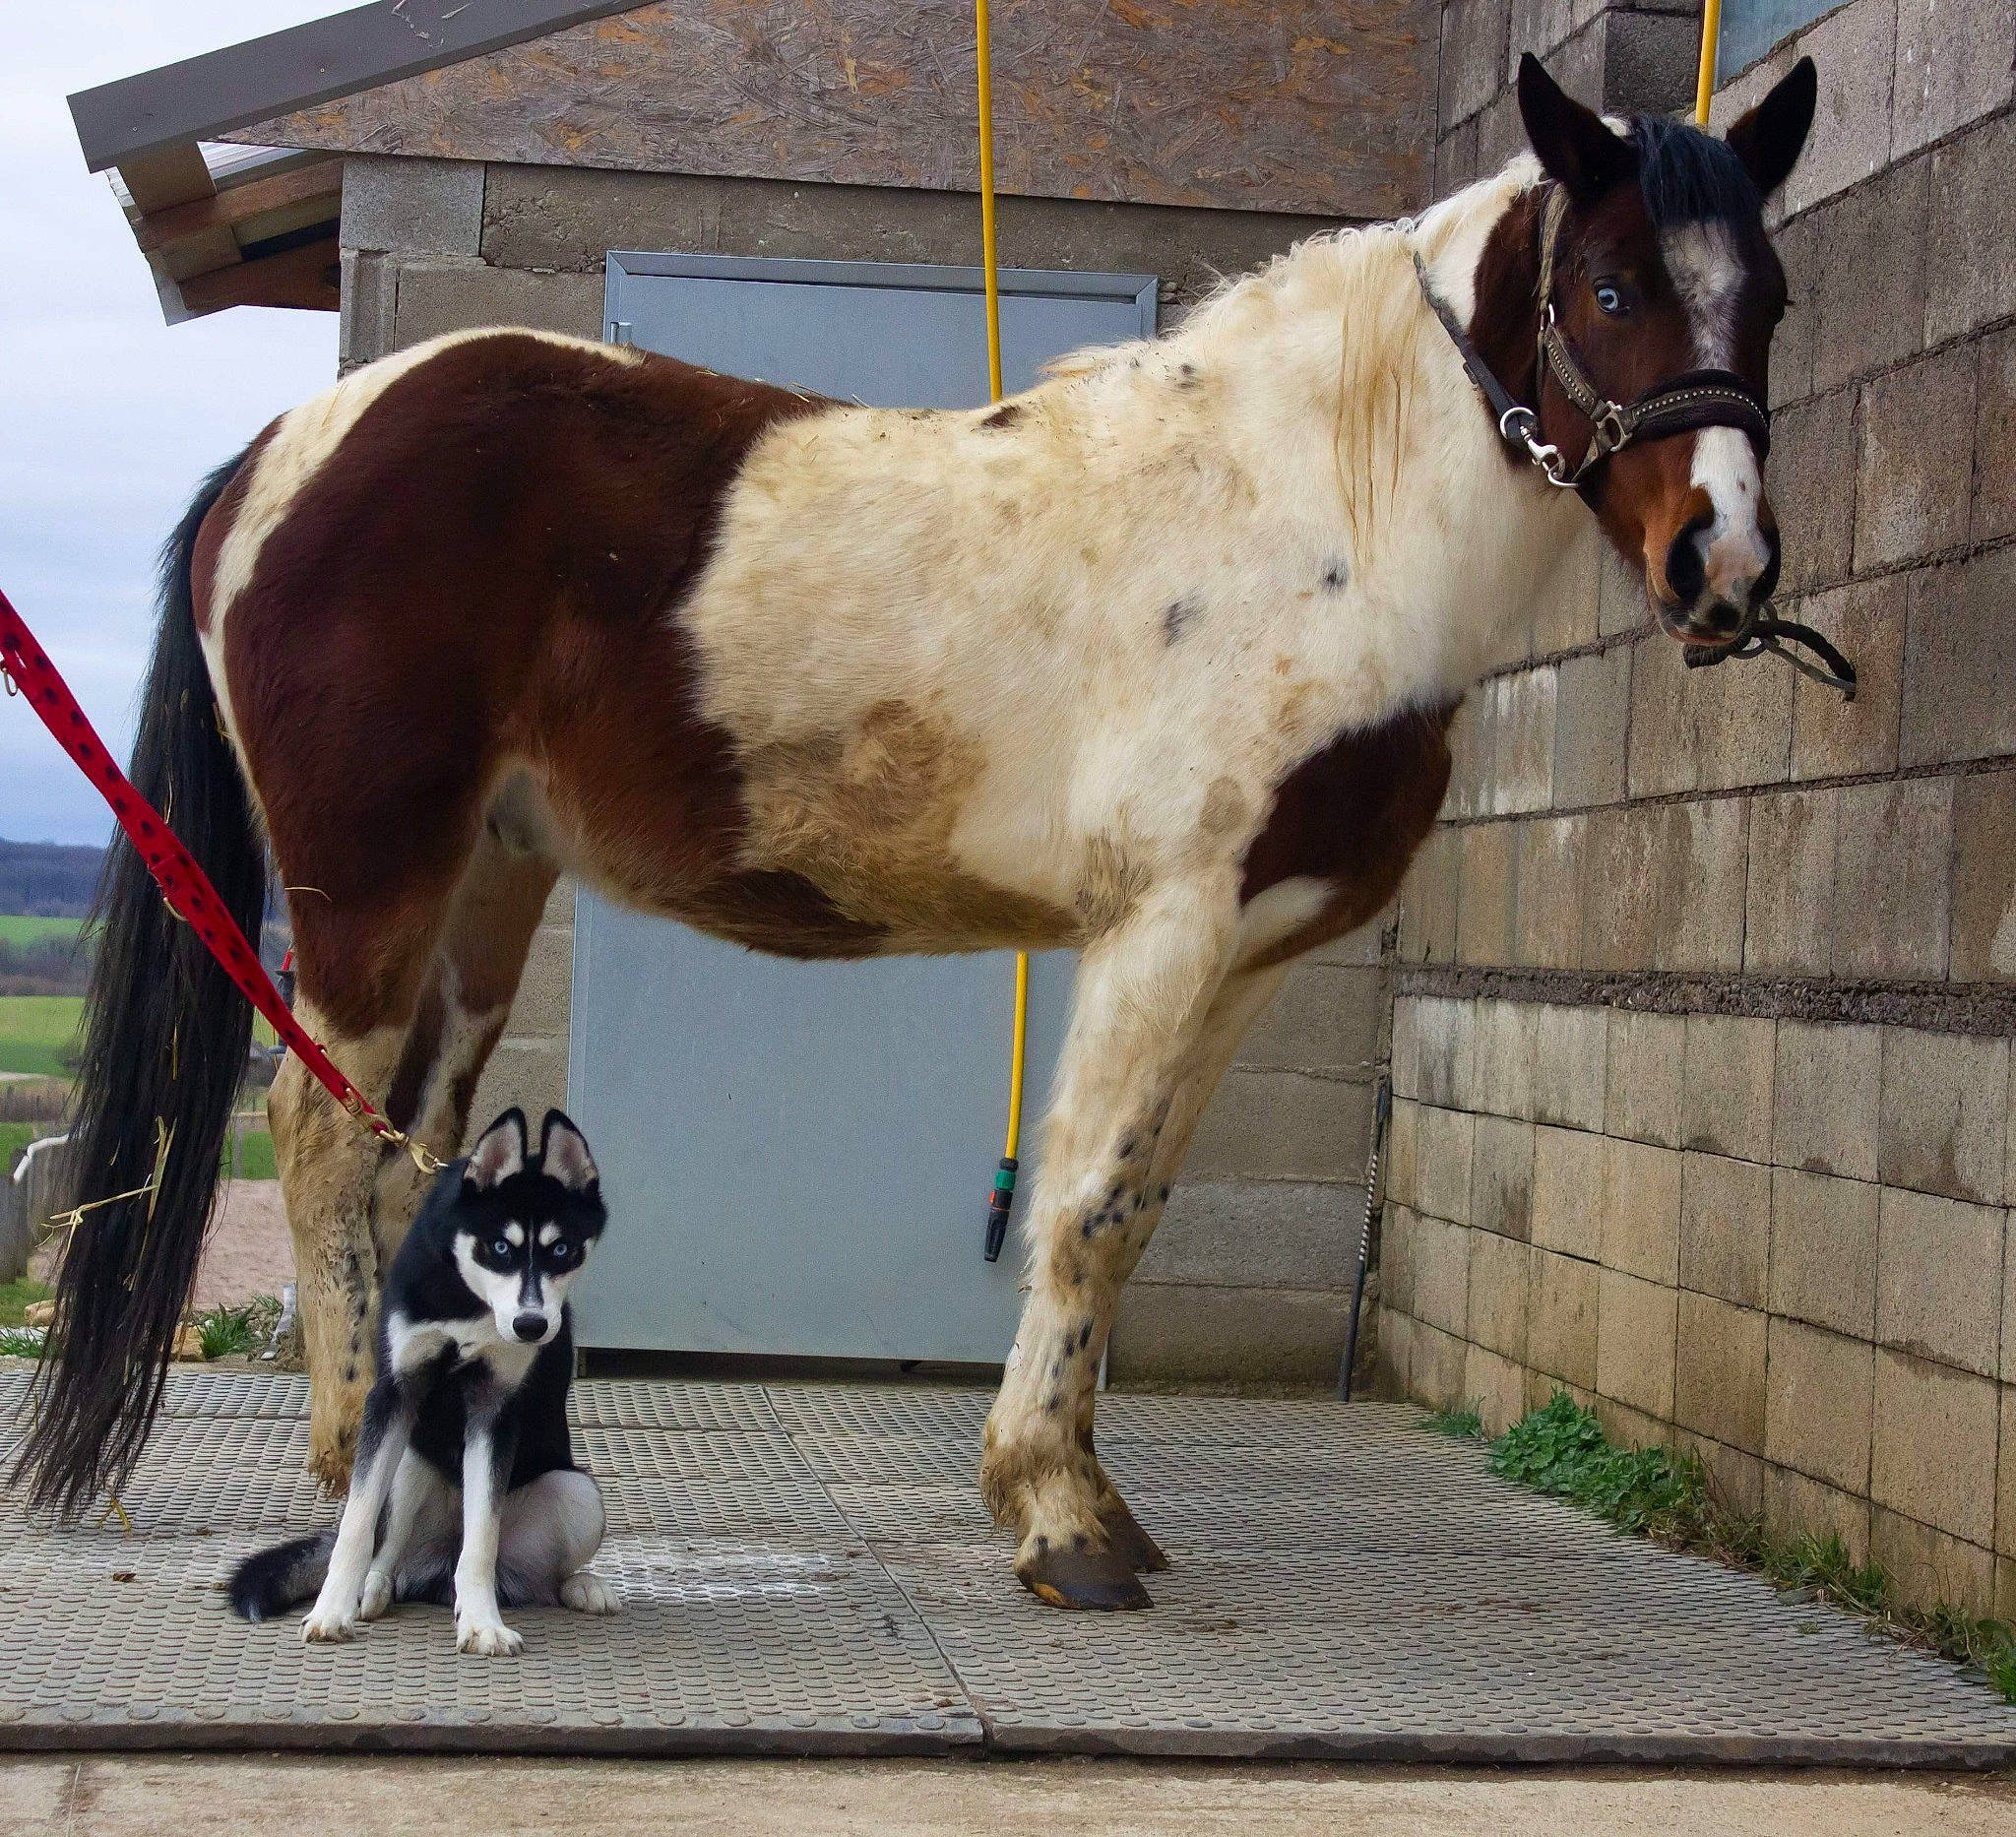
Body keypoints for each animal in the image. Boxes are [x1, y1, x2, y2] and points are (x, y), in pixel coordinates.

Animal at [20, 55, 1816, 1610]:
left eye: (1771, 299)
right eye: (1608, 290)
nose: (1720, 569)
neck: (1302, 520)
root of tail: (280, 456)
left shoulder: (1240, 952)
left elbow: (1134, 1210)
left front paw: (1087, 1498)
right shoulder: (1162, 923)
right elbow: (1082, 1207)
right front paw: (1059, 1520)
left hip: (485, 886)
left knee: (403, 1151)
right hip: (373, 879)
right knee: (315, 1139)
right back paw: (348, 1470)